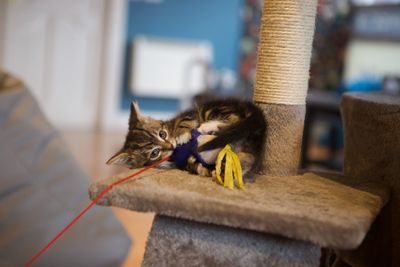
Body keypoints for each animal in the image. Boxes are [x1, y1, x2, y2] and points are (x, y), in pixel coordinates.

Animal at [108, 99, 268, 179]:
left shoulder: (189, 115)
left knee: (231, 121)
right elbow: (191, 163)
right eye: (154, 153)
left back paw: (206, 127)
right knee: (249, 158)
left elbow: (184, 122)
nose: (171, 146)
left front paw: (183, 134)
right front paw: (202, 169)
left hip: (212, 109)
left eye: (162, 134)